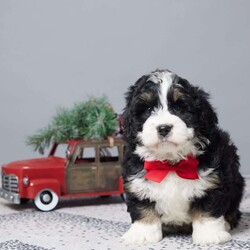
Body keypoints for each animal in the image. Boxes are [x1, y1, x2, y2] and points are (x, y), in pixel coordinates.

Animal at [122, 69, 245, 245]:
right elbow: (142, 206)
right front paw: (143, 232)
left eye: (179, 107)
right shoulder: (137, 181)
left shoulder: (212, 181)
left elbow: (207, 209)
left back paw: (227, 223)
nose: (164, 128)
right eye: (148, 109)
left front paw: (209, 234)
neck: (170, 163)